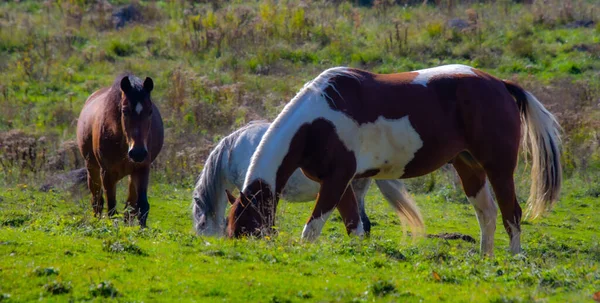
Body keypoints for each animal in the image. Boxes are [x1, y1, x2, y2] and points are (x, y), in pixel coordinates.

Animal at [78, 74, 166, 228]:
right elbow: (111, 208)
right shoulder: (107, 172)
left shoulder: (142, 168)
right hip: (92, 168)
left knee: (130, 206)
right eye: (124, 111)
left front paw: (141, 230)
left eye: (150, 111)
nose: (137, 152)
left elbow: (142, 206)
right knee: (97, 201)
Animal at [229, 64, 564, 256]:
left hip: (499, 169)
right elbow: (354, 226)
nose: (239, 250)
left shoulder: (336, 181)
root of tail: (501, 85)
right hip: (468, 167)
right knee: (487, 214)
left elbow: (311, 229)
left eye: (247, 227)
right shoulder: (341, 183)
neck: (318, 122)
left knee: (511, 214)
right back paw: (484, 258)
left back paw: (514, 258)